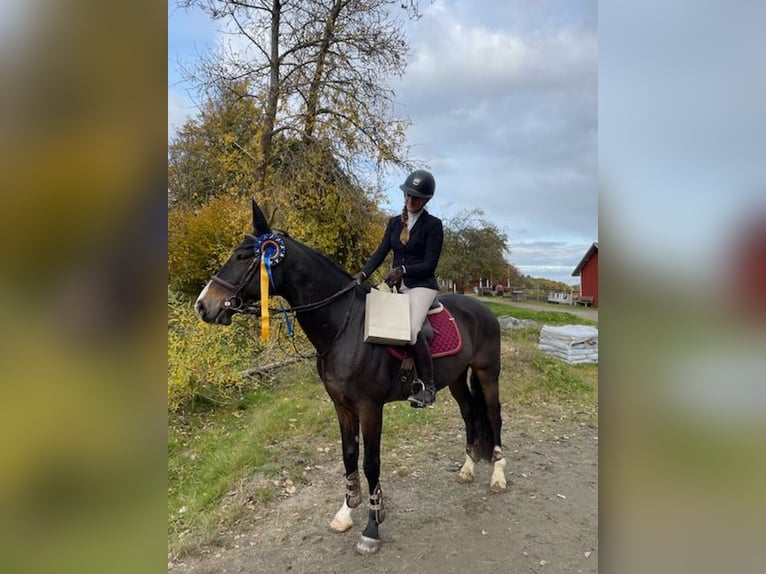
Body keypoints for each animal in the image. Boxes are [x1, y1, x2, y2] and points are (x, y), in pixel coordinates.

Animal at [195, 202, 508, 560]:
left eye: (244, 256)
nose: (203, 306)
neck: (345, 326)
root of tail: (481, 308)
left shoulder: (370, 407)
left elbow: (371, 462)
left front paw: (372, 528)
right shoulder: (341, 405)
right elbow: (348, 455)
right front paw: (346, 511)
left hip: (487, 373)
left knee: (494, 416)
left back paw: (498, 477)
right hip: (456, 379)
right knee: (470, 413)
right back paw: (468, 469)